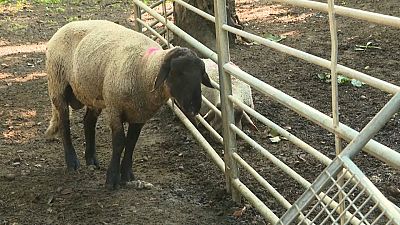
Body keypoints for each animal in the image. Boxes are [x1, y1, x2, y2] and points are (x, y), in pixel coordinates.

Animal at [44, 20, 212, 190]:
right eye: (176, 73)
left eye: (200, 75)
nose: (194, 108)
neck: (145, 69)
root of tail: (68, 25)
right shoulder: (114, 109)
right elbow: (119, 143)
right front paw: (112, 179)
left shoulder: (139, 115)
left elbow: (131, 143)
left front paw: (127, 176)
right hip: (57, 85)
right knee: (64, 124)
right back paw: (72, 162)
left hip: (93, 94)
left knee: (88, 122)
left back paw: (91, 160)